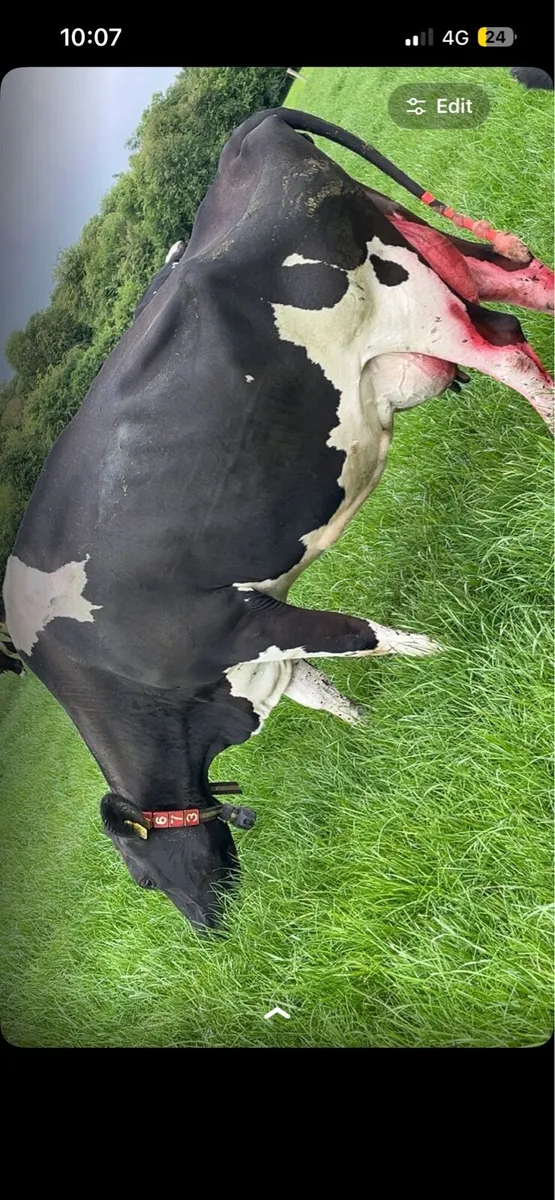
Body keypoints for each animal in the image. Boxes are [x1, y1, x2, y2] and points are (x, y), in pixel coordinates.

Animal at [2, 107, 553, 933]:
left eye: (144, 877)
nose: (206, 932)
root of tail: (249, 134)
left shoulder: (237, 626)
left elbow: (358, 637)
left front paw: (451, 654)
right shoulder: (247, 654)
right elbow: (318, 689)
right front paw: (376, 731)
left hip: (415, 309)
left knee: (509, 349)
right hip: (434, 255)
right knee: (529, 281)